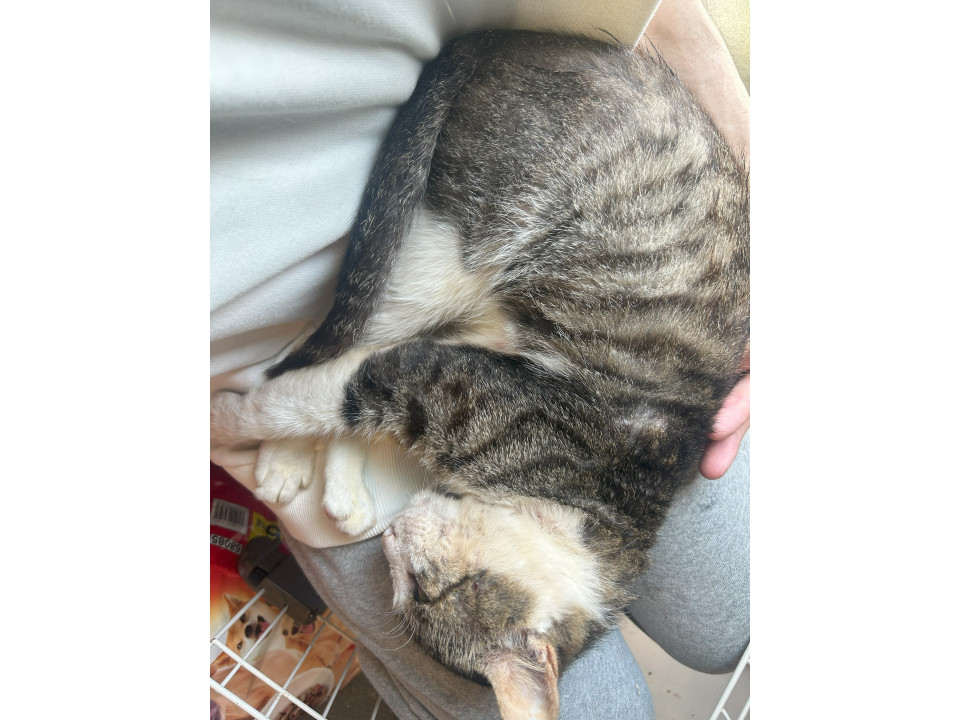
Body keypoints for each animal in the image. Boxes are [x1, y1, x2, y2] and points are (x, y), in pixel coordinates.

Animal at [211, 29, 749, 720]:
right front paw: (227, 423)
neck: (597, 509)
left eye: (413, 594)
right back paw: (277, 458)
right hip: (458, 247)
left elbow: (346, 404)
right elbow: (300, 396)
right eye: (437, 588)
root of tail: (515, 38)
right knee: (323, 336)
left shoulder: (449, 359)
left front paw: (341, 482)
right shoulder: (448, 380)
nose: (393, 536)